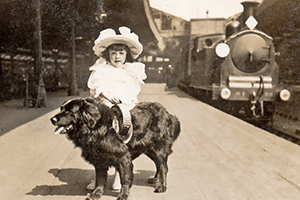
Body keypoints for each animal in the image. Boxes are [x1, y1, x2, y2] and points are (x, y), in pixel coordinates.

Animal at [50, 98, 179, 200]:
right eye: (61, 109)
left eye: (69, 111)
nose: (52, 119)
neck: (97, 128)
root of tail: (168, 114)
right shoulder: (99, 159)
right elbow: (100, 178)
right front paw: (96, 193)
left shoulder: (123, 157)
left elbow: (125, 179)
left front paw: (123, 195)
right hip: (150, 149)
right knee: (159, 165)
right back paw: (155, 179)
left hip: (158, 149)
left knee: (163, 167)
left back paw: (162, 186)